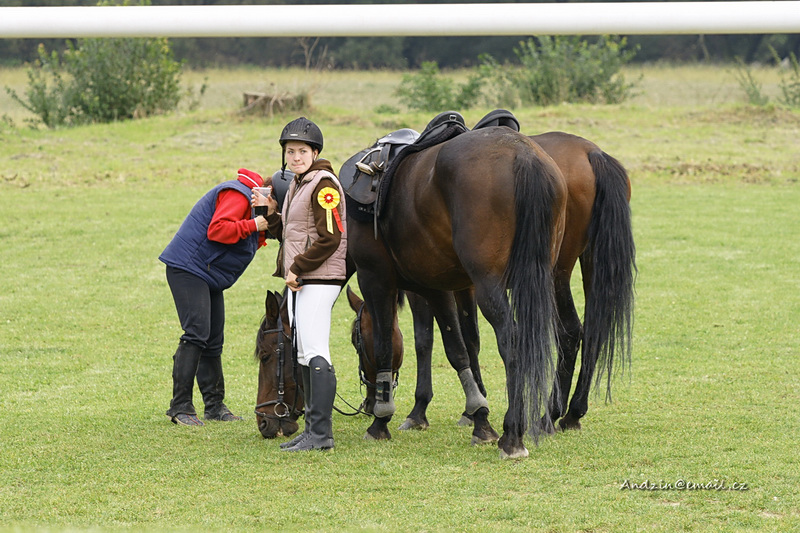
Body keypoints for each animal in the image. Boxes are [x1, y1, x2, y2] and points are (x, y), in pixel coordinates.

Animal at [347, 126, 568, 459]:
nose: (368, 402)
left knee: (512, 342)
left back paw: (512, 436)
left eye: (356, 341)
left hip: (491, 288)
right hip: (539, 282)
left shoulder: (375, 278)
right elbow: (458, 348)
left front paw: (381, 420)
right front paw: (479, 419)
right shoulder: (440, 287)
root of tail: (523, 154)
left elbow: (390, 344)